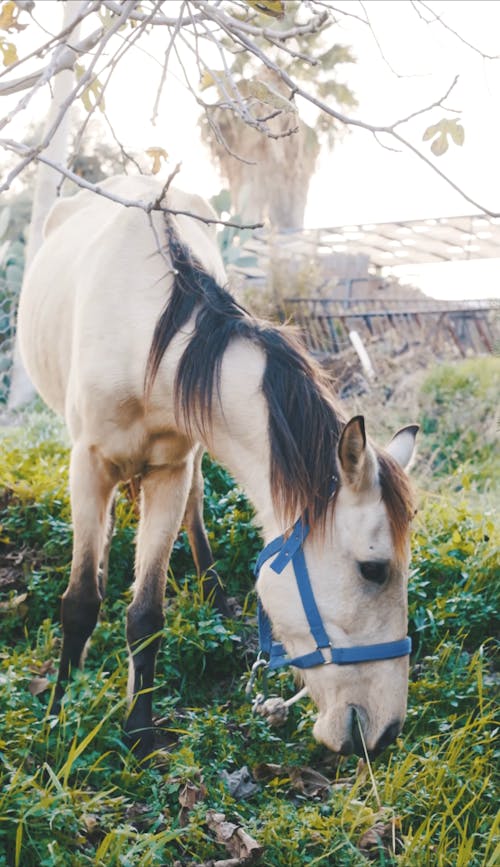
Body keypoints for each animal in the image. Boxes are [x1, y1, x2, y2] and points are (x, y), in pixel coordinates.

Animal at [17, 175, 418, 760]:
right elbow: (80, 603)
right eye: (374, 570)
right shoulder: (87, 466)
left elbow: (147, 614)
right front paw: (57, 710)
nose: (386, 732)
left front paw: (139, 730)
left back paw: (211, 590)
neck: (146, 340)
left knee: (197, 502)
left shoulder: (171, 468)